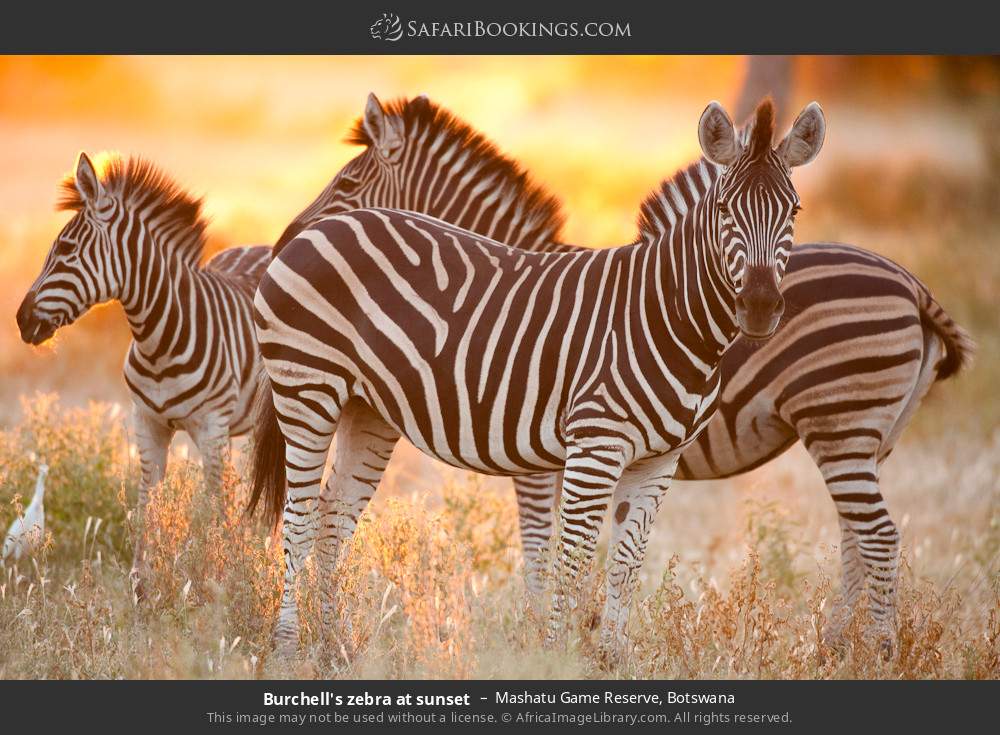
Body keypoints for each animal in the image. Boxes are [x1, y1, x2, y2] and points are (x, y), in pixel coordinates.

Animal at [15, 153, 271, 592]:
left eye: (65, 249)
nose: (21, 319)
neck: (160, 339)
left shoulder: (211, 427)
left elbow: (213, 503)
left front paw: (221, 576)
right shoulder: (147, 421)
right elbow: (146, 500)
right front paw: (142, 583)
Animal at [280, 94, 973, 654]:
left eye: (347, 182)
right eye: (725, 209)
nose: (287, 236)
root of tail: (911, 282)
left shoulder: (550, 457)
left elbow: (550, 551)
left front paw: (551, 639)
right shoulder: (566, 451)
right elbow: (564, 553)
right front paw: (560, 638)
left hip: (842, 426)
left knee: (876, 536)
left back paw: (872, 650)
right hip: (864, 436)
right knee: (860, 537)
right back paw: (837, 646)